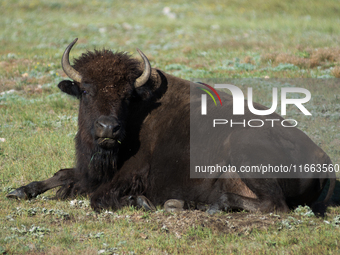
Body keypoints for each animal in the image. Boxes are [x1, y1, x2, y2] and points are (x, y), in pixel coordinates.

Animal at [6, 37, 336, 213]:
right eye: (85, 90)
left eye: (127, 95)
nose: (108, 129)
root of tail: (324, 159)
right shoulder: (91, 171)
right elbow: (63, 174)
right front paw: (19, 191)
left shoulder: (127, 175)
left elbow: (99, 198)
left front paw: (140, 201)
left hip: (246, 152)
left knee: (274, 205)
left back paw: (198, 205)